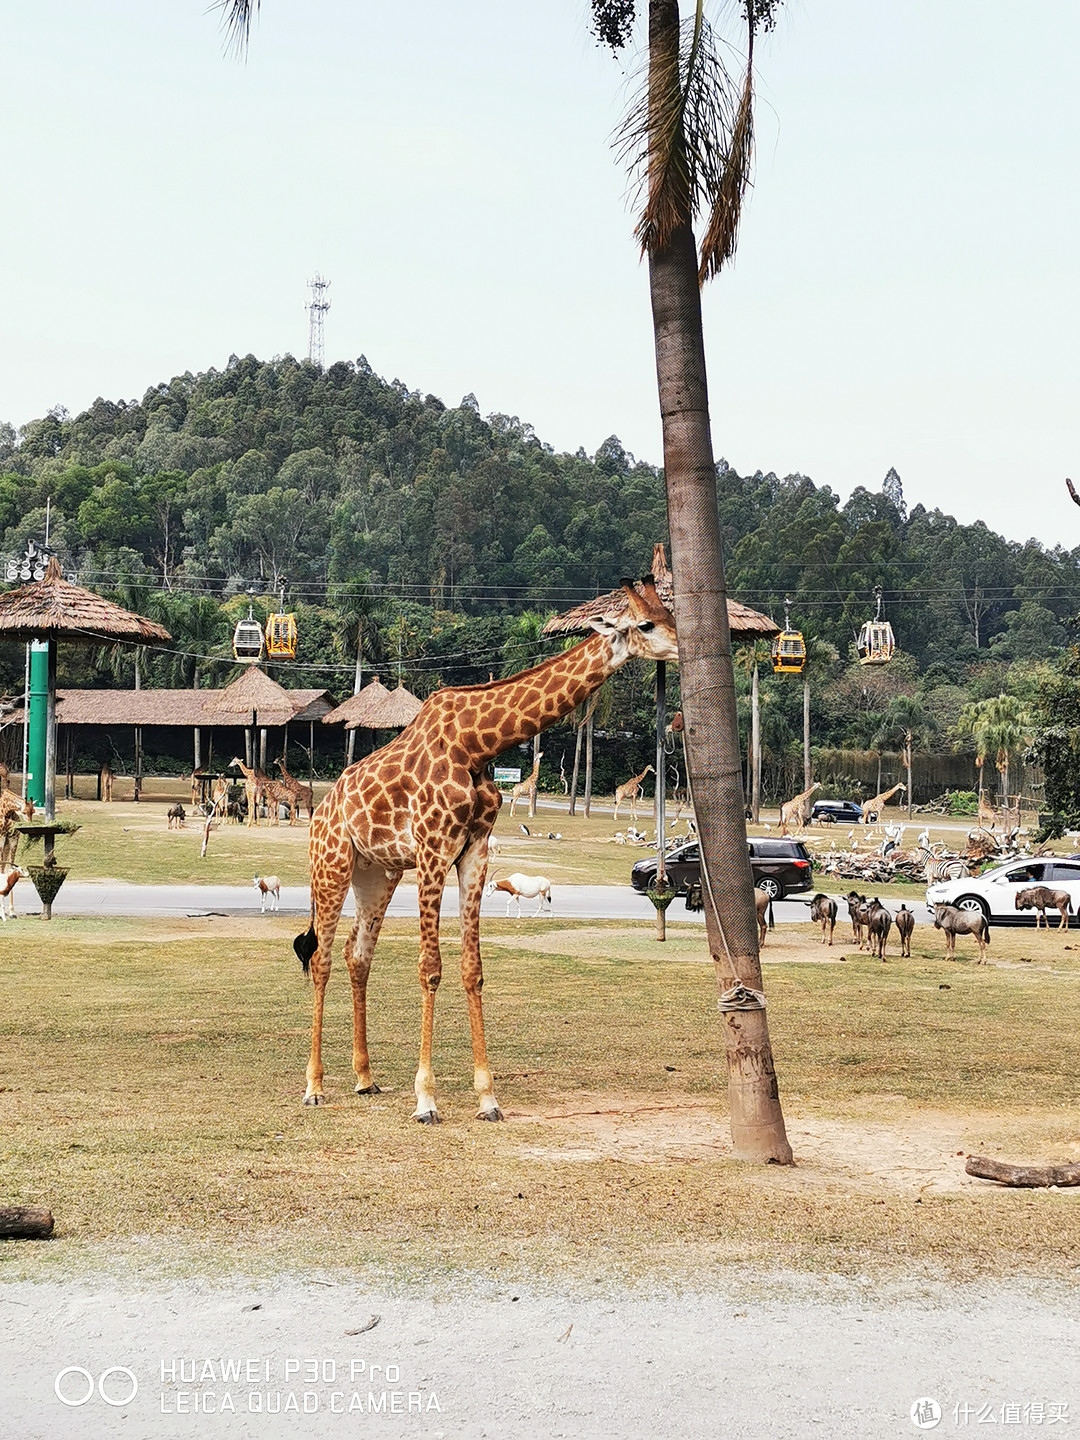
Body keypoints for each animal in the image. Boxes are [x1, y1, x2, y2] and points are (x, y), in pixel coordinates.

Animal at [293, 578, 676, 1117]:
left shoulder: (474, 852)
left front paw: (487, 1095)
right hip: (331, 863)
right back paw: (314, 1086)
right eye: (646, 624)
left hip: (377, 872)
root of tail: (320, 812)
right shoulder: (433, 850)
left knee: (357, 953)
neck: (477, 746)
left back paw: (365, 1078)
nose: (684, 647)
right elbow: (430, 969)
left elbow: (472, 970)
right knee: (321, 957)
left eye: (670, 615)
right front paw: (426, 1099)